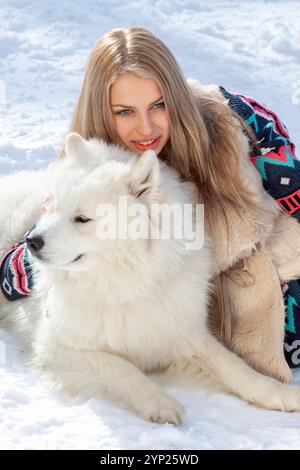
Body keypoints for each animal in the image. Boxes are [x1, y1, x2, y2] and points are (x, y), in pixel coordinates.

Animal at [0, 133, 300, 426]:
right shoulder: (59, 348)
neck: (126, 284)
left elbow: (235, 367)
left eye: (82, 219)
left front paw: (280, 393)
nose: (31, 241)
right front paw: (161, 403)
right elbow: (121, 367)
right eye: (50, 208)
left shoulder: (178, 330)